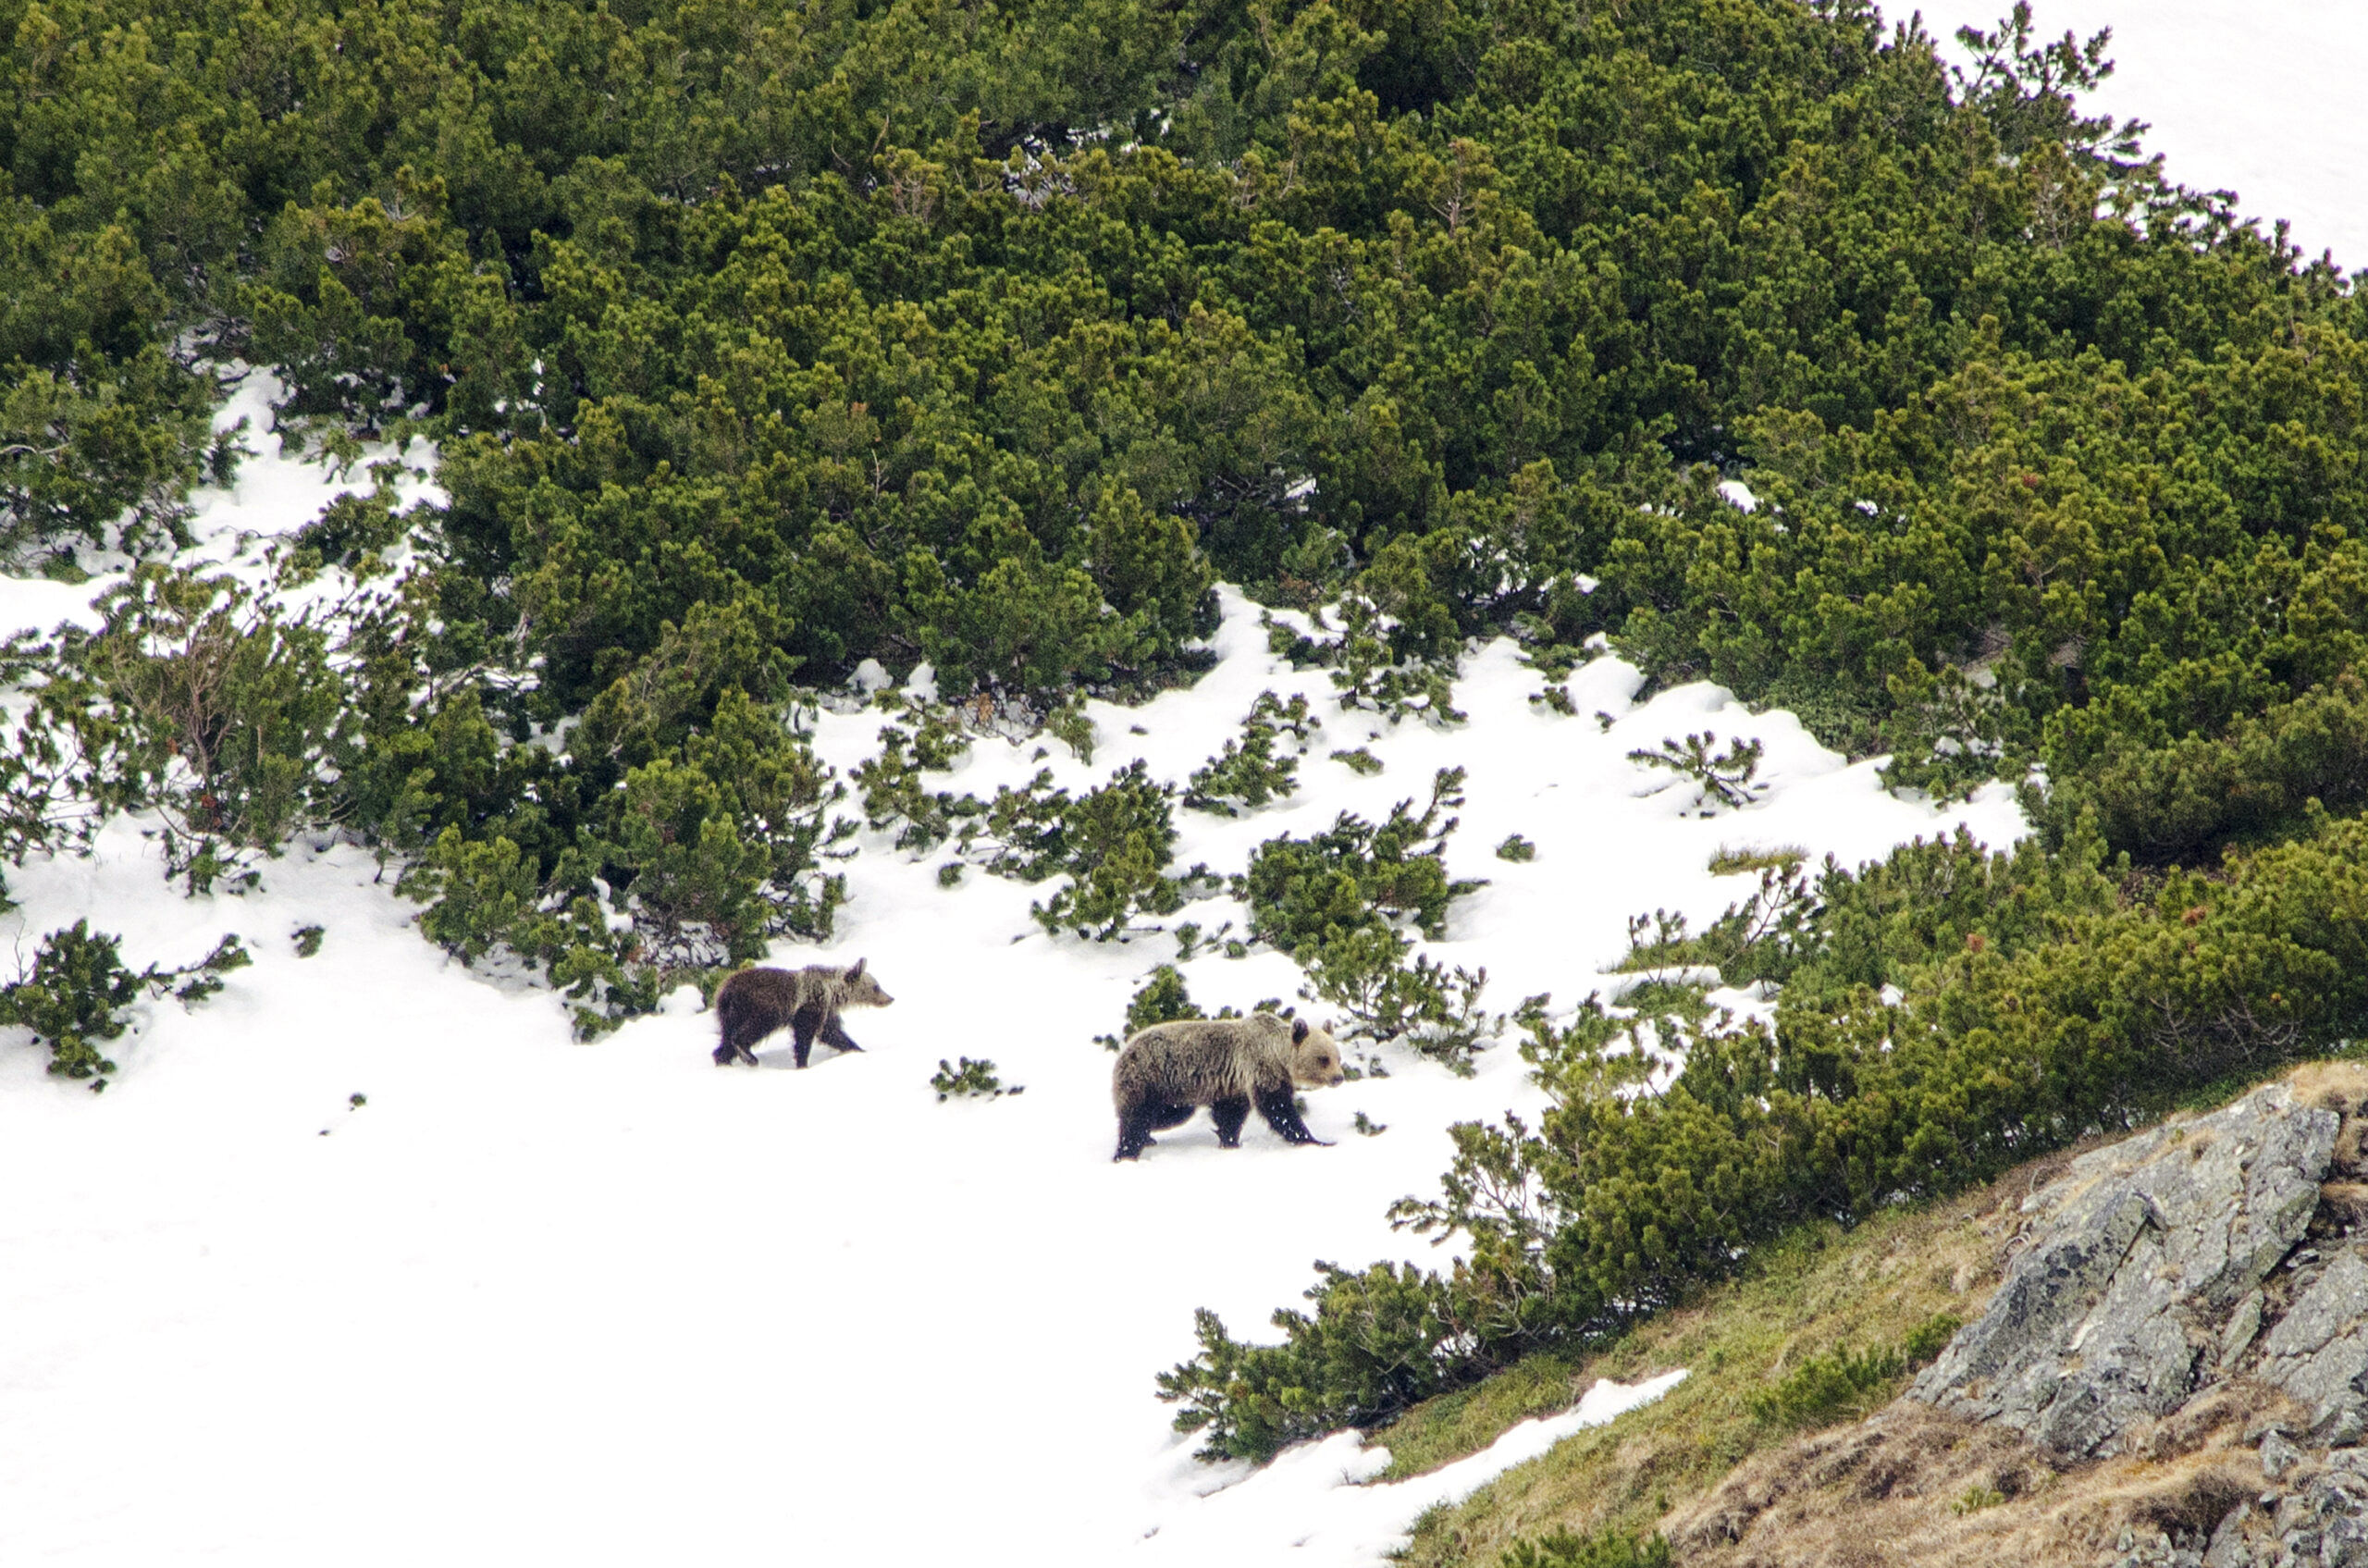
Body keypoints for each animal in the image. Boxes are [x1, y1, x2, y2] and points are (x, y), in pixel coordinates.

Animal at [710, 957, 894, 1070]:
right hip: (760, 1006)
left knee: (726, 1039)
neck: (832, 992)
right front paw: (803, 1064)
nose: (890, 998)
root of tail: (726, 990)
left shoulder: (825, 1011)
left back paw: (723, 1060)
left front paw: (857, 1049)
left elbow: (832, 1034)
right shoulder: (808, 1008)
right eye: (876, 987)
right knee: (751, 1030)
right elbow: (805, 1036)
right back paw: (749, 1057)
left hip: (729, 1015)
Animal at [1113, 1018, 1354, 1165]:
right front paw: (1317, 1140)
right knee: (1137, 1120)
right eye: (1323, 1059)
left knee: (1167, 1115)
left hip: (1173, 1093)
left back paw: (1148, 1138)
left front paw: (1230, 1141)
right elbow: (1279, 1110)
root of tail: (1124, 1051)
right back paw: (1126, 1153)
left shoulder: (1233, 1085)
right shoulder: (1260, 1069)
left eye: (1338, 1057)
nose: (1338, 1077)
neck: (1279, 1056)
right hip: (1149, 1078)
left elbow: (1230, 1115)